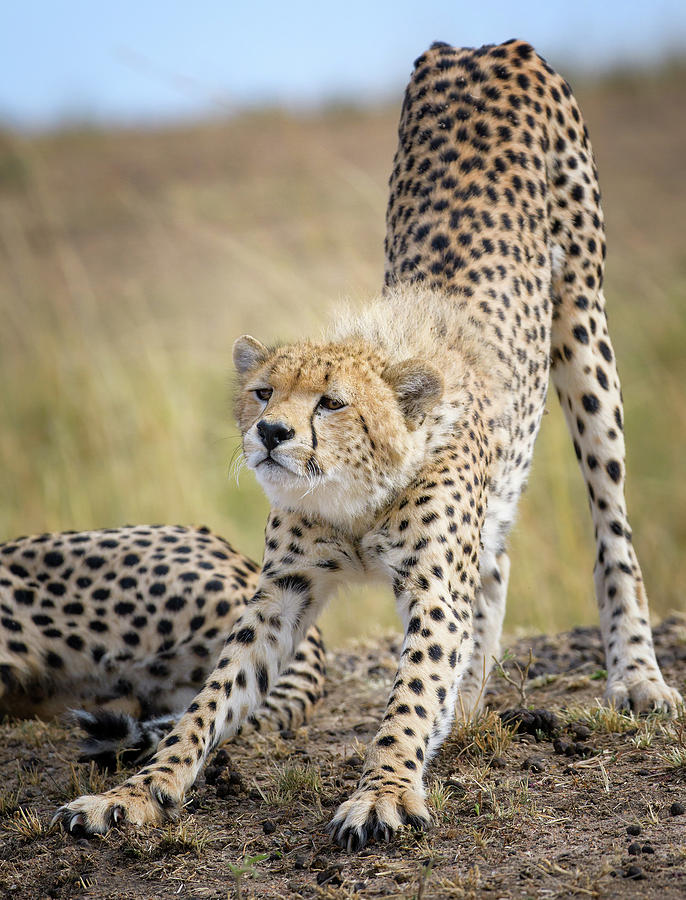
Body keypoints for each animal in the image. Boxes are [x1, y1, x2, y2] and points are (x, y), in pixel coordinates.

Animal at [49, 37, 684, 852]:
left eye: (331, 402)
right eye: (264, 393)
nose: (271, 433)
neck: (355, 494)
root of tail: (481, 45)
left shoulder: (432, 587)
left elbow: (408, 692)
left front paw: (382, 791)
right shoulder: (283, 589)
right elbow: (210, 701)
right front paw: (135, 793)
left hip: (584, 323)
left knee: (612, 528)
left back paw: (636, 677)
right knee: (498, 558)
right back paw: (468, 704)